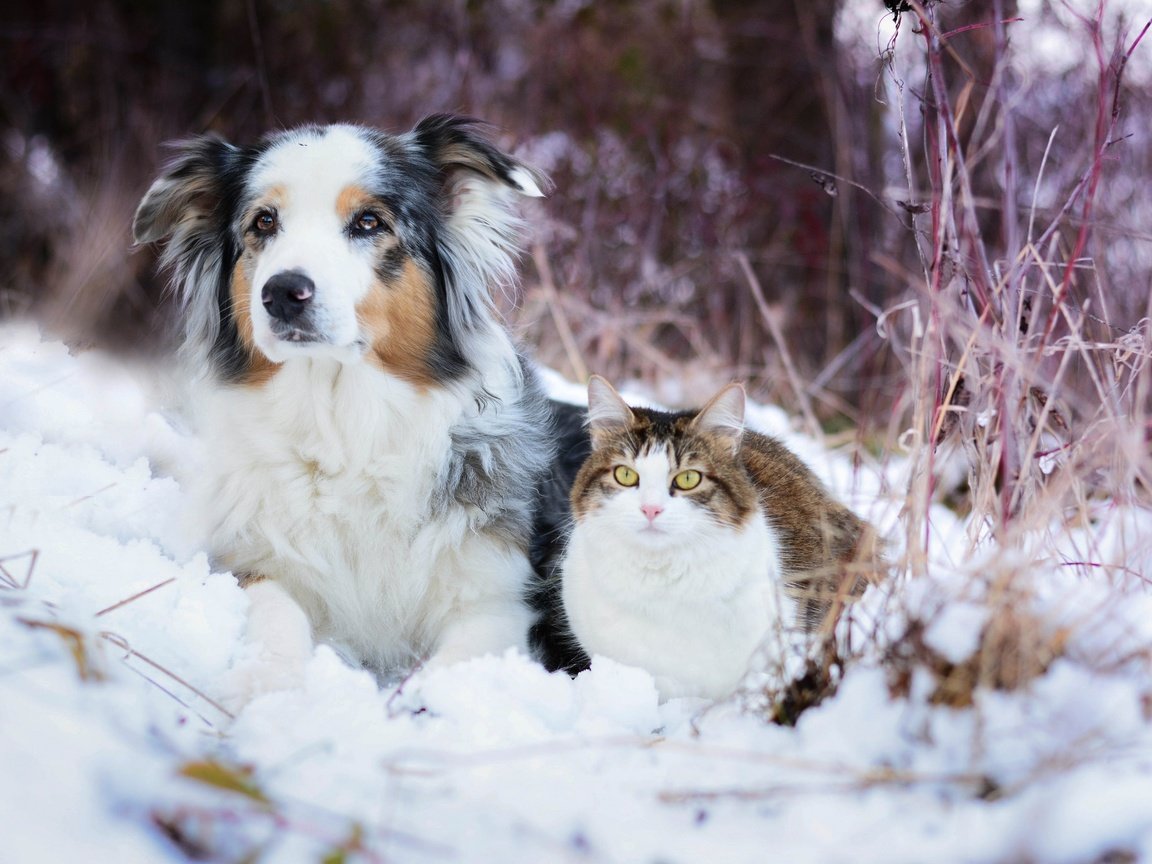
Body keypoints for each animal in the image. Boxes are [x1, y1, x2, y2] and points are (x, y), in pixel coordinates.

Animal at [133, 115, 557, 695]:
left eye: (368, 222)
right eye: (264, 221)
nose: (282, 292)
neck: (344, 427)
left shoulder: (497, 602)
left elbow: (453, 668)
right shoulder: (250, 561)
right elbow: (277, 612)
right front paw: (266, 683)